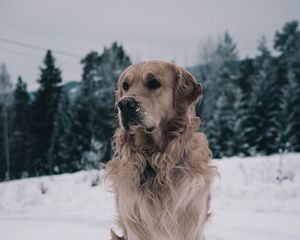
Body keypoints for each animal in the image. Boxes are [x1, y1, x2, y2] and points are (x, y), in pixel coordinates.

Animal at [104, 61, 217, 239]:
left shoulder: (191, 222)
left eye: (154, 83)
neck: (155, 157)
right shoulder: (135, 222)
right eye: (125, 86)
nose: (124, 104)